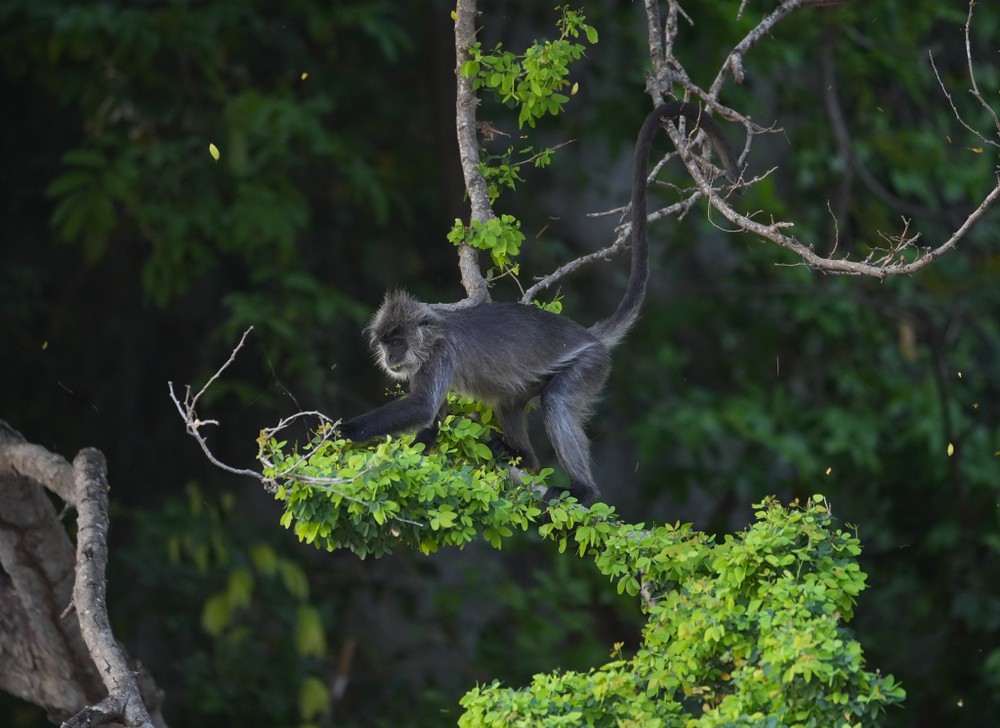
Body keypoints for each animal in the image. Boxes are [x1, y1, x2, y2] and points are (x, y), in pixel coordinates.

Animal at [340, 101, 740, 500]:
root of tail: (589, 336)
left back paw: (582, 489)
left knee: (557, 403)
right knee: (509, 401)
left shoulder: (441, 354)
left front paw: (342, 431)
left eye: (396, 342)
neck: (433, 334)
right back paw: (523, 457)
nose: (390, 358)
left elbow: (423, 407)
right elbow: (431, 419)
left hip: (590, 364)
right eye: (385, 343)